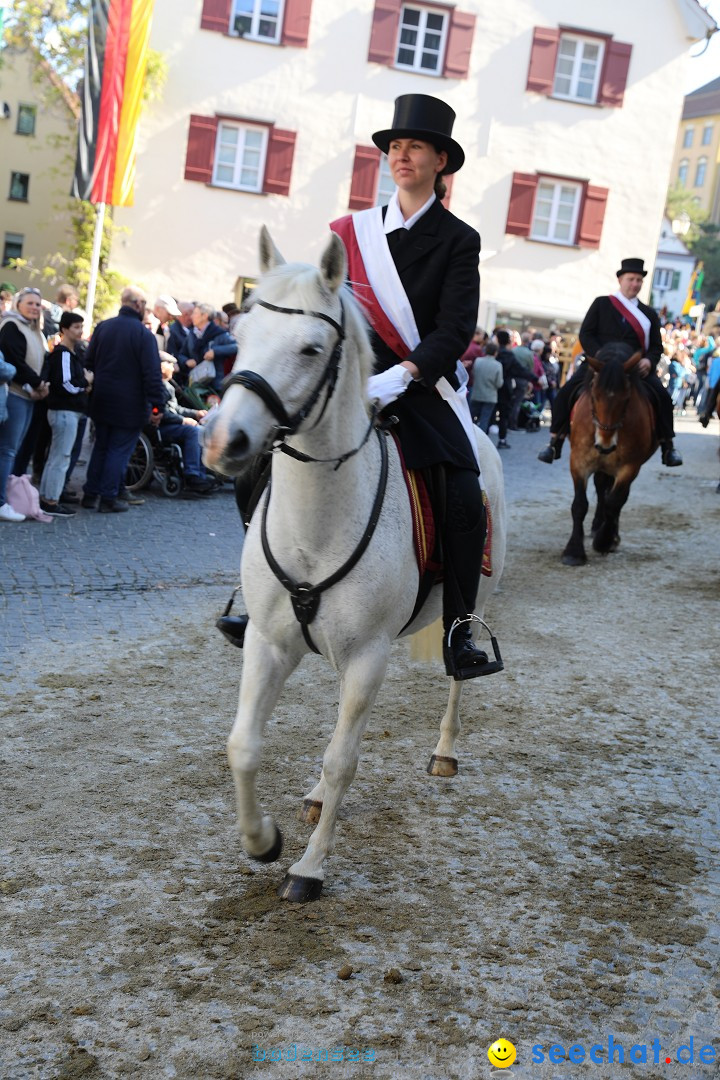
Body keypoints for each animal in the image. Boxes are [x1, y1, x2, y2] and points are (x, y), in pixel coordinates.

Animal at [202, 227, 507, 902]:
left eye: (311, 348)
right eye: (240, 331)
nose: (224, 441)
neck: (316, 521)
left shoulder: (368, 655)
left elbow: (344, 759)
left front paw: (309, 869)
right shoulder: (268, 643)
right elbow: (243, 746)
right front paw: (262, 842)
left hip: (474, 601)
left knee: (456, 674)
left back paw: (445, 749)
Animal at [561, 343, 660, 565]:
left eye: (627, 399)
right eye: (594, 395)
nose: (605, 445)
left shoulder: (629, 467)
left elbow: (614, 502)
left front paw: (605, 541)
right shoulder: (578, 462)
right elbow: (580, 505)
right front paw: (573, 551)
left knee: (615, 498)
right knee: (601, 489)